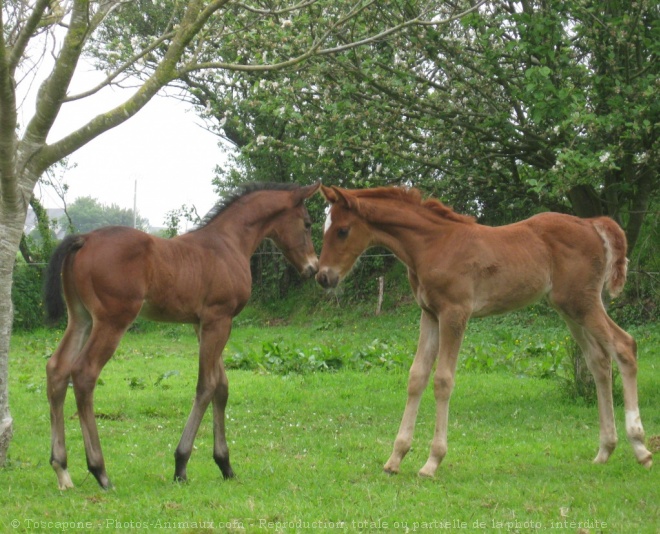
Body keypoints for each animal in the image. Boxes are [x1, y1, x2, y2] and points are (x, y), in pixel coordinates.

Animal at [43, 183, 320, 490]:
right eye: (308, 223)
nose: (313, 268)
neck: (229, 243)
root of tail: (85, 238)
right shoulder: (219, 319)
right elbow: (206, 386)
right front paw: (181, 464)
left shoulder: (203, 325)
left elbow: (221, 386)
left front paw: (225, 464)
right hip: (112, 321)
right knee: (83, 373)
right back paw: (100, 471)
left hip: (81, 318)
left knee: (57, 369)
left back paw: (61, 469)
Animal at [318, 186, 652, 480]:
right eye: (324, 228)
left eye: (343, 230)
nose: (323, 277)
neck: (433, 245)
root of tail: (592, 223)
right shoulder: (429, 315)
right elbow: (417, 377)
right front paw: (395, 458)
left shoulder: (455, 314)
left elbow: (443, 380)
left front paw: (432, 462)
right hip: (569, 308)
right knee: (599, 361)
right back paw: (605, 450)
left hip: (582, 302)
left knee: (624, 346)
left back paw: (640, 448)